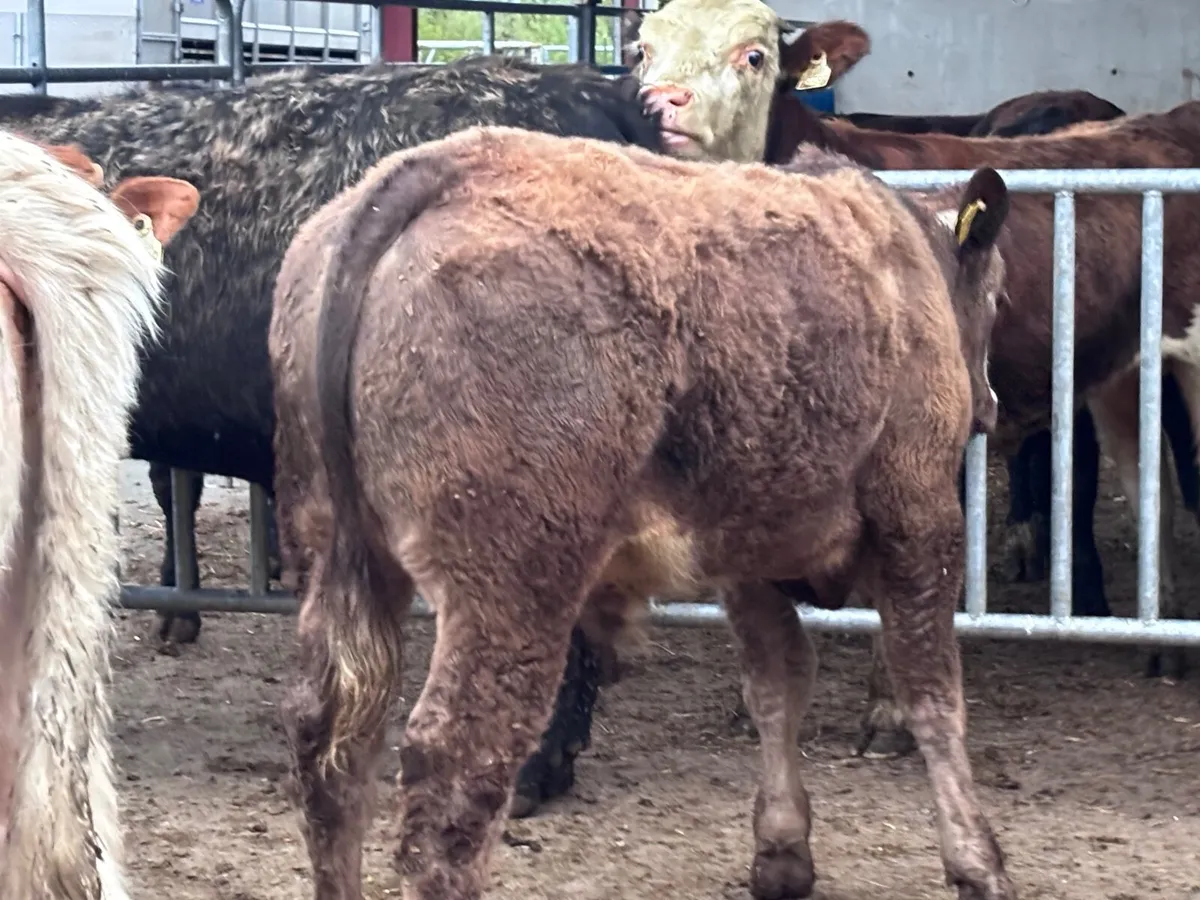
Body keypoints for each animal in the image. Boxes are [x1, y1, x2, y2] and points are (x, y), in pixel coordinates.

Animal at [270, 123, 1015, 900]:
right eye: (998, 297)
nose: (990, 407)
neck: (903, 258)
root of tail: (435, 171)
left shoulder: (747, 554)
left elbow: (777, 681)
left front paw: (782, 849)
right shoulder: (919, 515)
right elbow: (931, 690)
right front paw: (977, 862)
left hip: (338, 558)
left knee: (329, 748)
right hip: (511, 590)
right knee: (455, 771)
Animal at [630, 0, 1200, 752]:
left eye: (753, 55)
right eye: (642, 48)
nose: (661, 100)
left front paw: (888, 711)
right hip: (1123, 368)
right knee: (1146, 476)